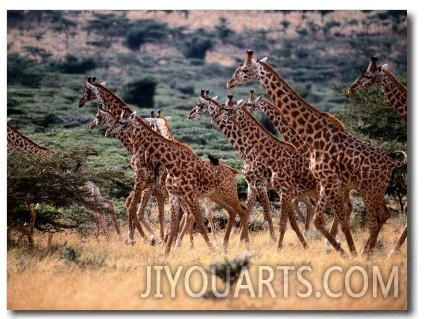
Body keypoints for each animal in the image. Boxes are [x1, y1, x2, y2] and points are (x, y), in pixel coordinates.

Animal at [80, 76, 250, 256]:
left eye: (86, 90)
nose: (80, 102)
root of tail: (232, 170)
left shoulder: (147, 182)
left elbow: (137, 209)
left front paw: (150, 239)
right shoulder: (164, 192)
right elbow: (158, 216)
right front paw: (159, 245)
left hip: (220, 193)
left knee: (232, 211)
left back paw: (233, 244)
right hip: (214, 195)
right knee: (230, 211)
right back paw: (222, 244)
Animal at [188, 89, 274, 241]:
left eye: (199, 104)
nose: (189, 114)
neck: (248, 151)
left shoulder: (260, 184)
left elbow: (267, 213)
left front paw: (273, 241)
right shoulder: (252, 185)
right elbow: (248, 210)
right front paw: (242, 241)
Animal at [225, 51, 408, 258]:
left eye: (244, 69)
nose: (229, 84)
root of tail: (392, 163)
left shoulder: (322, 184)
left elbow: (321, 219)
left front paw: (344, 252)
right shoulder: (318, 186)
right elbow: (312, 219)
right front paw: (339, 249)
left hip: (370, 189)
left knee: (374, 219)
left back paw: (370, 252)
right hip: (368, 189)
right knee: (380, 215)